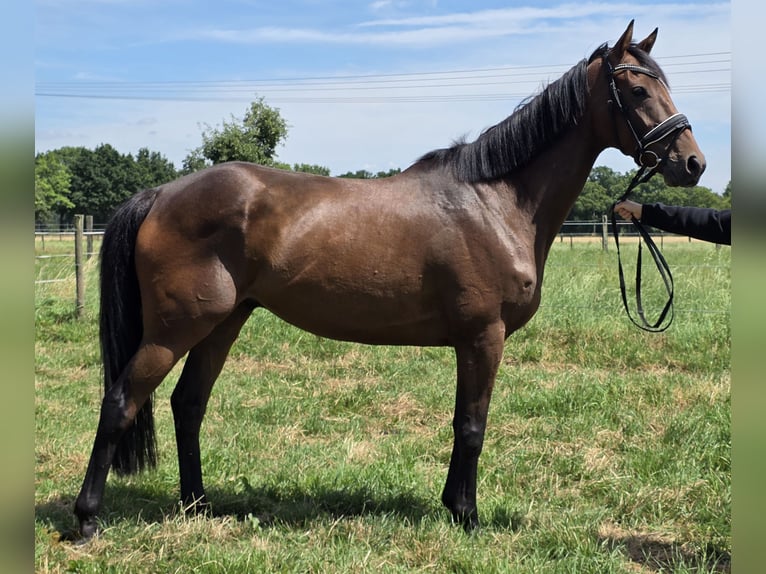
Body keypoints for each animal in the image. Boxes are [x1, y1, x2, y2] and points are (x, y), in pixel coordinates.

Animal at [74, 21, 705, 540]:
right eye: (638, 90)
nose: (692, 163)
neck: (496, 201)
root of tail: (162, 194)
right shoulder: (483, 337)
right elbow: (471, 425)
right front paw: (467, 515)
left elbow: (463, 423)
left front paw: (454, 506)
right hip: (175, 328)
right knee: (121, 401)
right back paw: (86, 519)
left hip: (222, 322)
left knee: (188, 404)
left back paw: (198, 506)